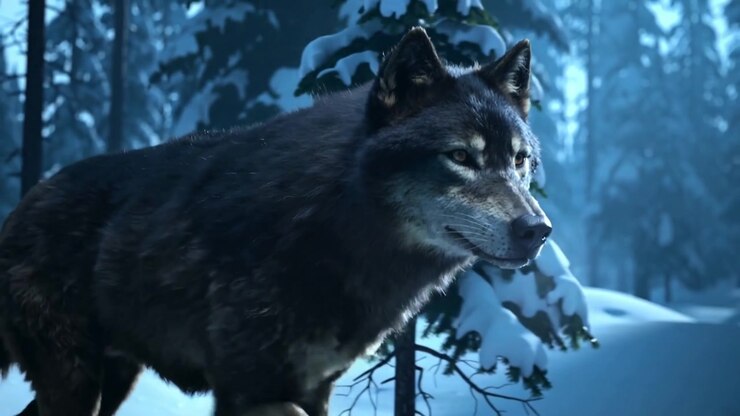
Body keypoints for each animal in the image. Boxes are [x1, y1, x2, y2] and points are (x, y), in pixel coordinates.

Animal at [0, 28, 550, 416]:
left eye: (520, 161)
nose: (538, 230)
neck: (333, 231)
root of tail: (23, 205)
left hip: (112, 380)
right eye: (460, 156)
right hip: (77, 381)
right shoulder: (248, 390)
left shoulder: (315, 387)